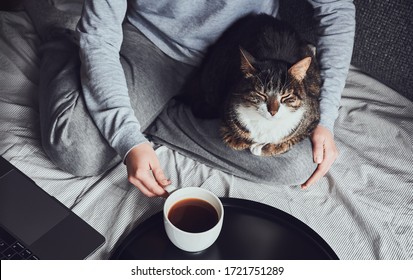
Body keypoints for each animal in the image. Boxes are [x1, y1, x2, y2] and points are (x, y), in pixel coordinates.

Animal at [182, 13, 320, 156]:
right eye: (261, 94)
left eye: (286, 96)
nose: (273, 111)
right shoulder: (227, 116)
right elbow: (237, 139)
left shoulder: (311, 118)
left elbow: (286, 141)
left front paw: (263, 147)